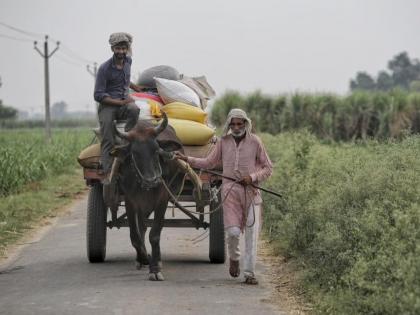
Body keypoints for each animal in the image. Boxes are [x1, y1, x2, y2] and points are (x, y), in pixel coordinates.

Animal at [114, 114, 183, 282]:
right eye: (135, 153)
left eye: (156, 150)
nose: (152, 180)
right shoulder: (130, 201)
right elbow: (135, 236)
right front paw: (144, 258)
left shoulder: (162, 199)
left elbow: (155, 234)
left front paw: (155, 268)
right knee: (141, 228)